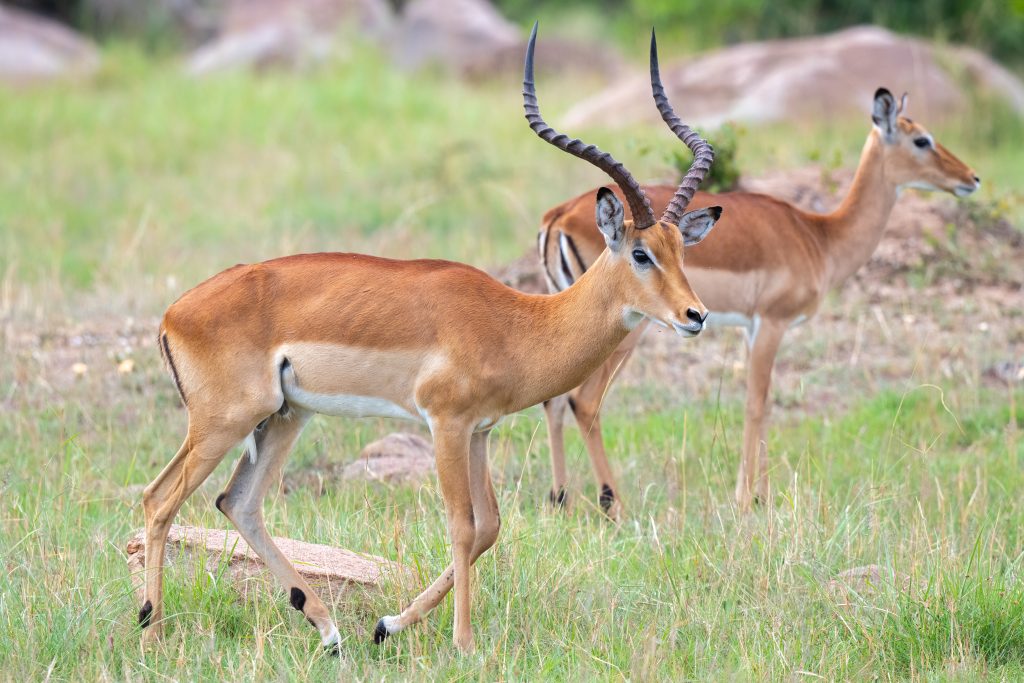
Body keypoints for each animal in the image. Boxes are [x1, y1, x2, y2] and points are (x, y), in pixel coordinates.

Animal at [137, 24, 720, 654]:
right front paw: (462, 642)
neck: (516, 323)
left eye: (679, 249)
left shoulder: (480, 431)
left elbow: (490, 526)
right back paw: (153, 631)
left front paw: (388, 624)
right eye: (639, 253)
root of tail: (173, 313)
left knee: (238, 503)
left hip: (285, 416)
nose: (695, 315)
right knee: (159, 498)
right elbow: (462, 526)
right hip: (224, 420)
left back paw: (330, 631)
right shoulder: (446, 424)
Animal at [540, 41, 981, 515]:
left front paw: (762, 494)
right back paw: (613, 504)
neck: (818, 236)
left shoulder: (751, 329)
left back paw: (560, 498)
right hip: (628, 331)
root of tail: (559, 214)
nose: (971, 178)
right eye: (922, 139)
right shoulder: (771, 322)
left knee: (554, 397)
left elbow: (763, 404)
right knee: (584, 401)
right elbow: (756, 403)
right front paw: (745, 498)